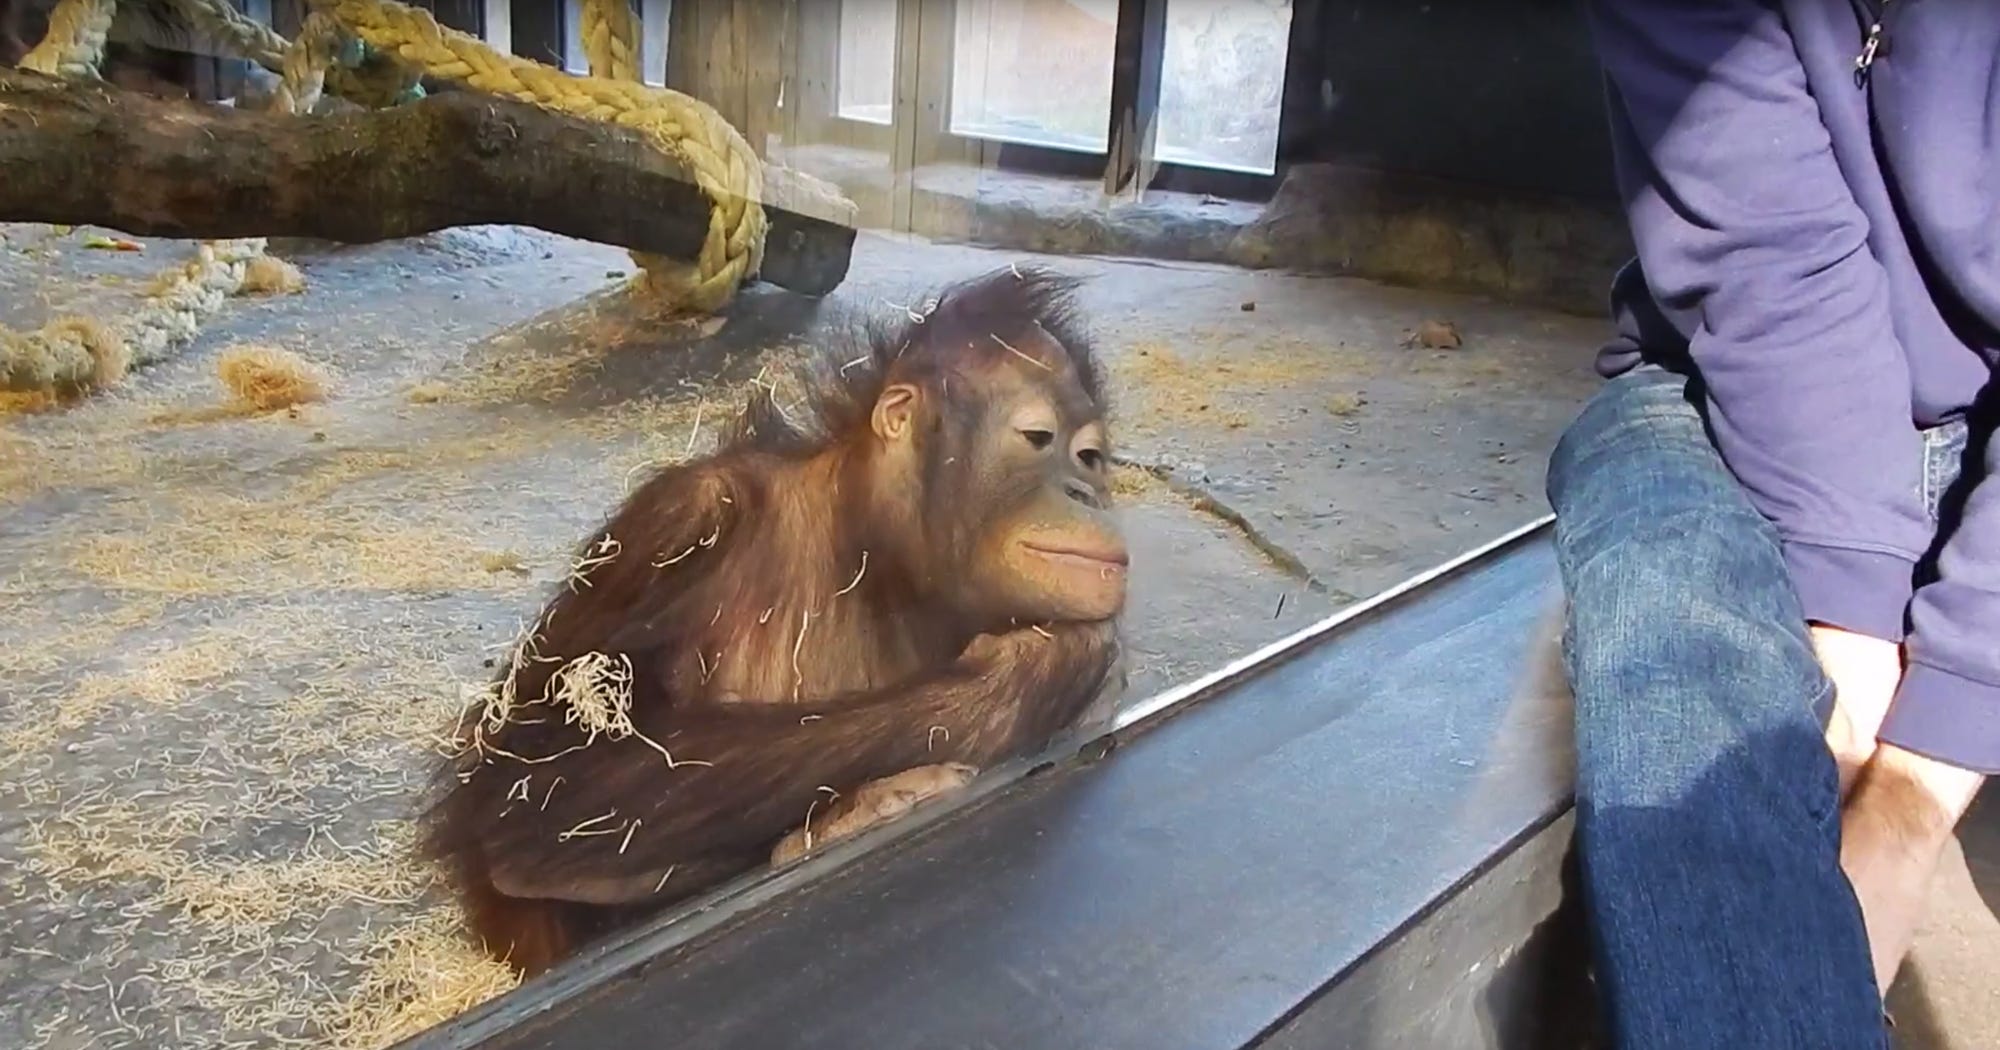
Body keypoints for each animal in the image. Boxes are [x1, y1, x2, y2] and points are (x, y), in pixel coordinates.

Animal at [419, 265, 1131, 978]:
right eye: (1037, 439)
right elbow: (537, 785)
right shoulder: (677, 525)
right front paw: (1035, 672)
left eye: (1090, 458)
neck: (869, 550)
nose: (1085, 492)